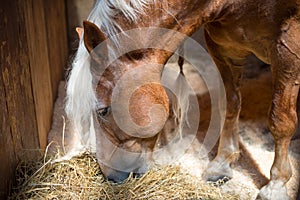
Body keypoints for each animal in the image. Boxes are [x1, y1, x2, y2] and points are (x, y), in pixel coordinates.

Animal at [64, 0, 298, 199]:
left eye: (103, 111)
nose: (111, 177)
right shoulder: (223, 46)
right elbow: (231, 104)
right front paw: (222, 164)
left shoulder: (288, 51)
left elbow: (280, 121)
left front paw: (276, 185)